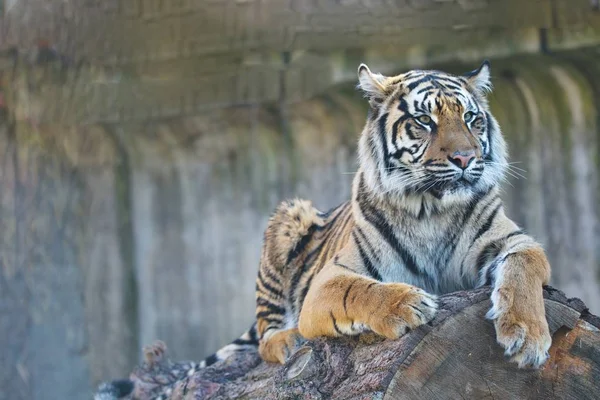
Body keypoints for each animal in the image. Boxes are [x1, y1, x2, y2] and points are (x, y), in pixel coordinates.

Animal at [96, 61, 552, 398]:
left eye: (472, 119)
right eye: (424, 120)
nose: (465, 158)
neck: (431, 209)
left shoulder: (513, 241)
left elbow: (526, 268)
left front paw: (527, 336)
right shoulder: (329, 279)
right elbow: (361, 290)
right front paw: (406, 304)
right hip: (288, 216)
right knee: (264, 336)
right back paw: (289, 340)